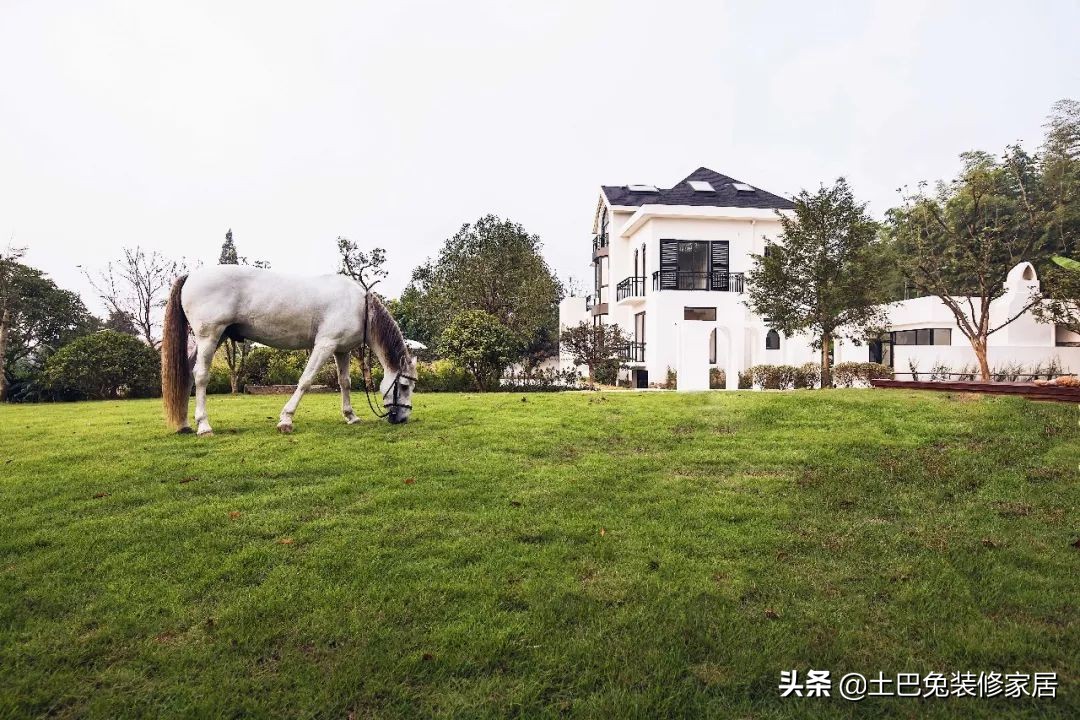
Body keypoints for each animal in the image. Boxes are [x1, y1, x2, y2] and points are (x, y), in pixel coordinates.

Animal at [159, 264, 416, 433]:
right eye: (403, 386)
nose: (402, 418)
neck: (359, 307)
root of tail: (192, 275)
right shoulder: (325, 345)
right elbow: (305, 381)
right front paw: (286, 420)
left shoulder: (341, 351)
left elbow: (345, 383)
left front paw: (351, 416)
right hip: (209, 337)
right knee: (200, 376)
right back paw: (204, 426)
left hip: (217, 338)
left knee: (186, 375)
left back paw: (185, 424)